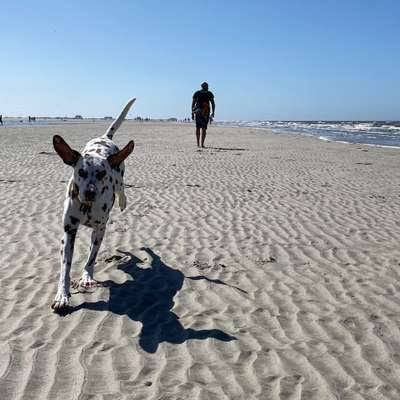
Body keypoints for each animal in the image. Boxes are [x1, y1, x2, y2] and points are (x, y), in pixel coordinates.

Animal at [51, 98, 136, 310]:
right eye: (81, 172)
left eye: (102, 174)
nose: (90, 192)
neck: (86, 207)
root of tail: (104, 138)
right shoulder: (69, 231)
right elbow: (65, 266)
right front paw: (62, 294)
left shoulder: (100, 230)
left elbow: (91, 257)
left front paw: (87, 277)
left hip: (119, 176)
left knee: (121, 189)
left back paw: (123, 201)